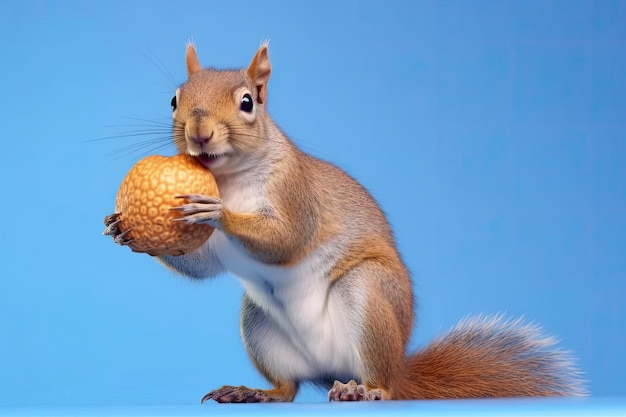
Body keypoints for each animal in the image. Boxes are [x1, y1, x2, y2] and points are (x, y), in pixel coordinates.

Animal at [103, 41, 584, 400]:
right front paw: (122, 229)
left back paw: (366, 391)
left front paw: (217, 212)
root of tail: (333, 368)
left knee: (381, 383)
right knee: (289, 390)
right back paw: (255, 393)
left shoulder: (296, 194)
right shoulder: (211, 250)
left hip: (368, 296)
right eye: (174, 99)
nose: (199, 134)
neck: (227, 179)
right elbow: (201, 267)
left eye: (247, 102)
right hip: (258, 325)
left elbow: (285, 240)